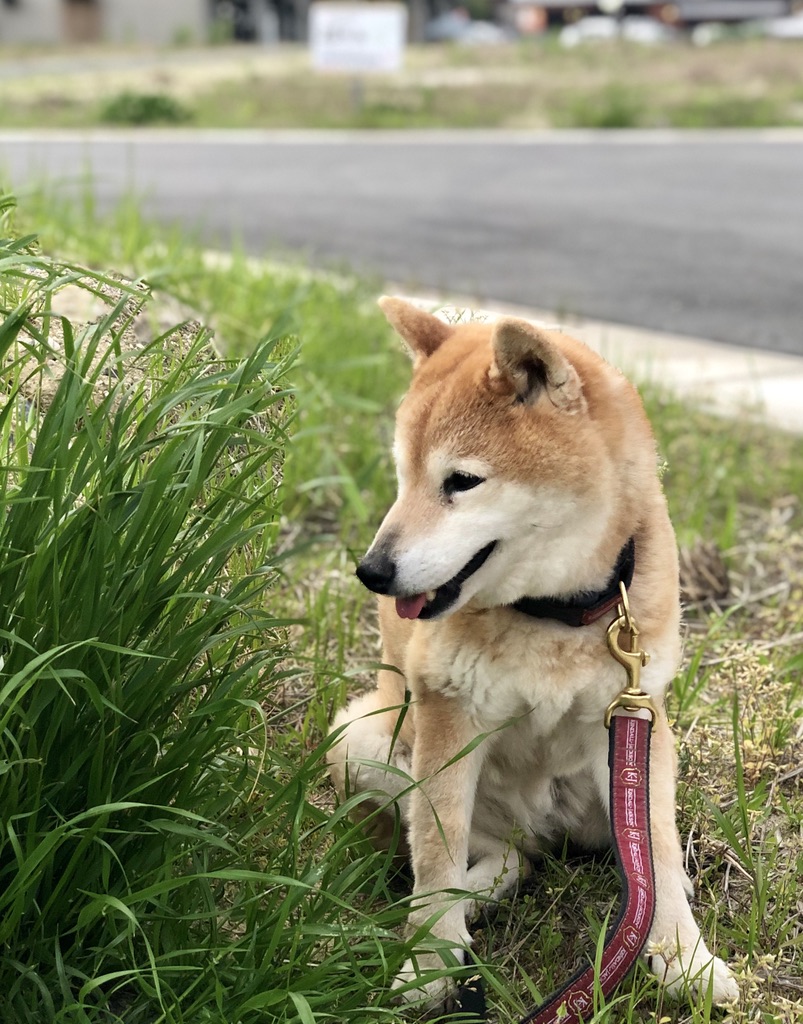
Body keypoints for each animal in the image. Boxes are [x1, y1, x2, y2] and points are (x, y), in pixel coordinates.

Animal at [323, 296, 733, 1007]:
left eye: (462, 481)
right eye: (402, 477)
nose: (372, 571)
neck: (554, 612)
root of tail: (539, 828)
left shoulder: (637, 715)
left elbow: (653, 847)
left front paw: (685, 958)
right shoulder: (450, 716)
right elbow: (435, 852)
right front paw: (430, 965)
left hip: (626, 776)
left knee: (620, 854)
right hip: (359, 739)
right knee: (502, 855)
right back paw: (464, 904)